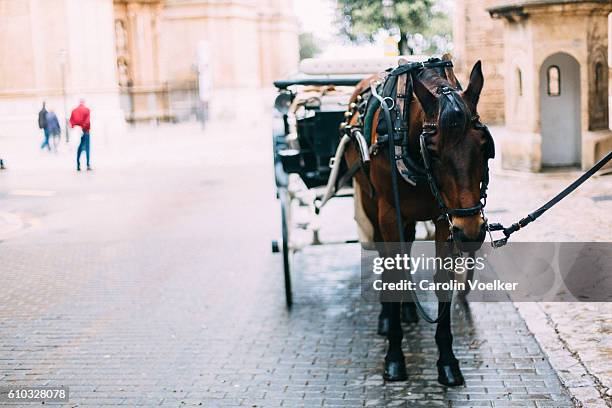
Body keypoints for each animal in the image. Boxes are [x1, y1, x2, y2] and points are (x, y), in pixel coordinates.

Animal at [344, 56, 492, 386]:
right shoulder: (390, 213)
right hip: (373, 205)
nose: (471, 232)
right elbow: (393, 275)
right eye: (433, 151)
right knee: (387, 259)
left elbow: (443, 281)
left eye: (483, 145)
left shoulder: (445, 218)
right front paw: (394, 358)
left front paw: (448, 361)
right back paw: (388, 318)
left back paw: (409, 310)